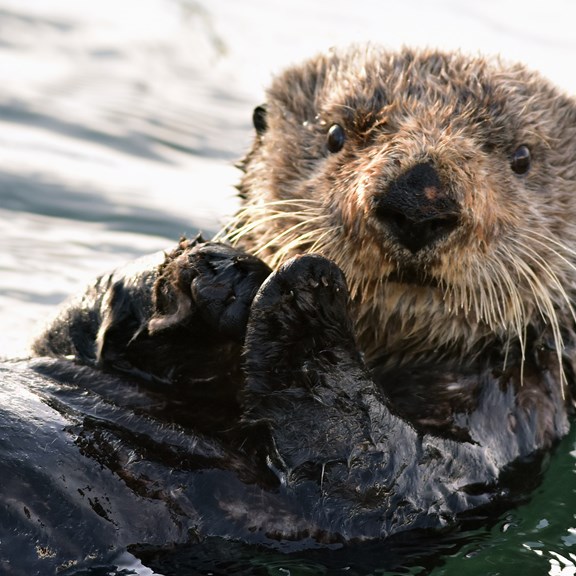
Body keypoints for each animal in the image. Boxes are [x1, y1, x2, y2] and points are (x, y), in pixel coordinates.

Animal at [6, 46, 576, 572]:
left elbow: (381, 475)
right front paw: (216, 274)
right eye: (336, 135)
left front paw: (309, 290)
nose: (418, 200)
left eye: (521, 158)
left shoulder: (507, 420)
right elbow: (67, 332)